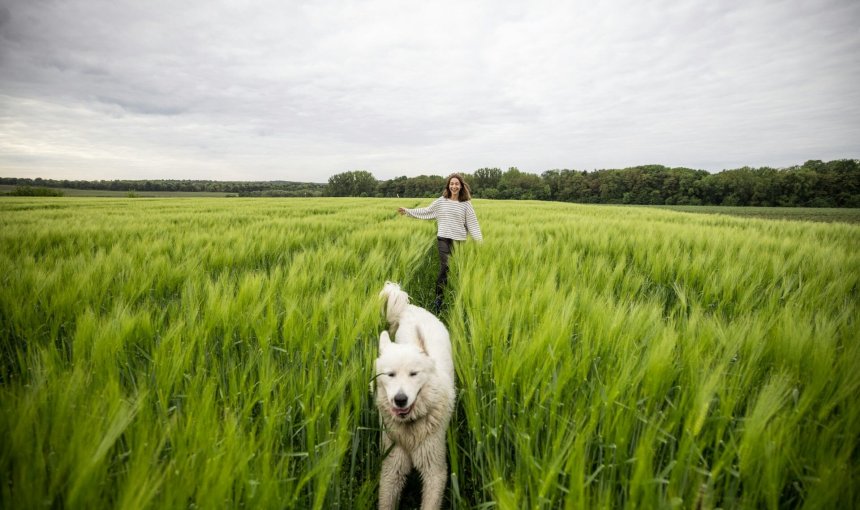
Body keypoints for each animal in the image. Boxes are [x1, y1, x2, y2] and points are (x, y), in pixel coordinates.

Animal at [376, 282, 456, 510]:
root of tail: (409, 309)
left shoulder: (435, 470)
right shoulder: (392, 465)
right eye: (390, 374)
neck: (410, 428)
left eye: (414, 374)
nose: (400, 399)